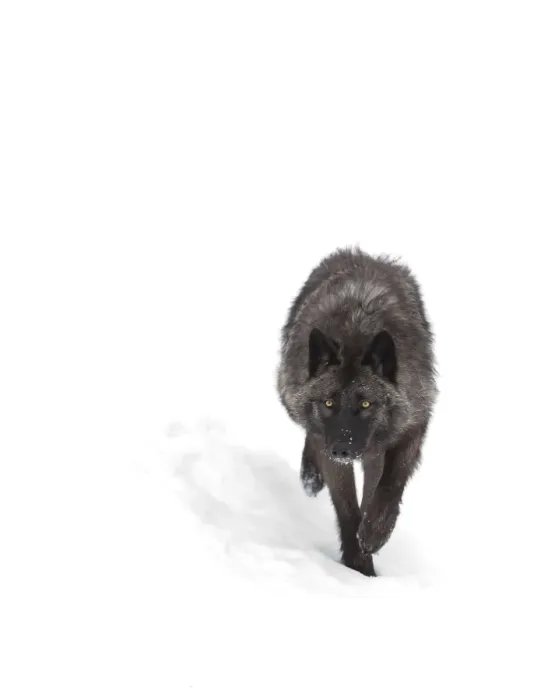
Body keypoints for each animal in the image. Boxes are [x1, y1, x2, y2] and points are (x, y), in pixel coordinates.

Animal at [277, 246, 437, 576]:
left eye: (365, 404)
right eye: (328, 403)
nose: (343, 449)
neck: (355, 336)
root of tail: (365, 254)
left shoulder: (411, 427)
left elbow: (389, 486)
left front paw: (374, 533)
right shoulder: (331, 449)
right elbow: (347, 508)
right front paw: (359, 567)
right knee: (311, 436)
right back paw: (311, 477)